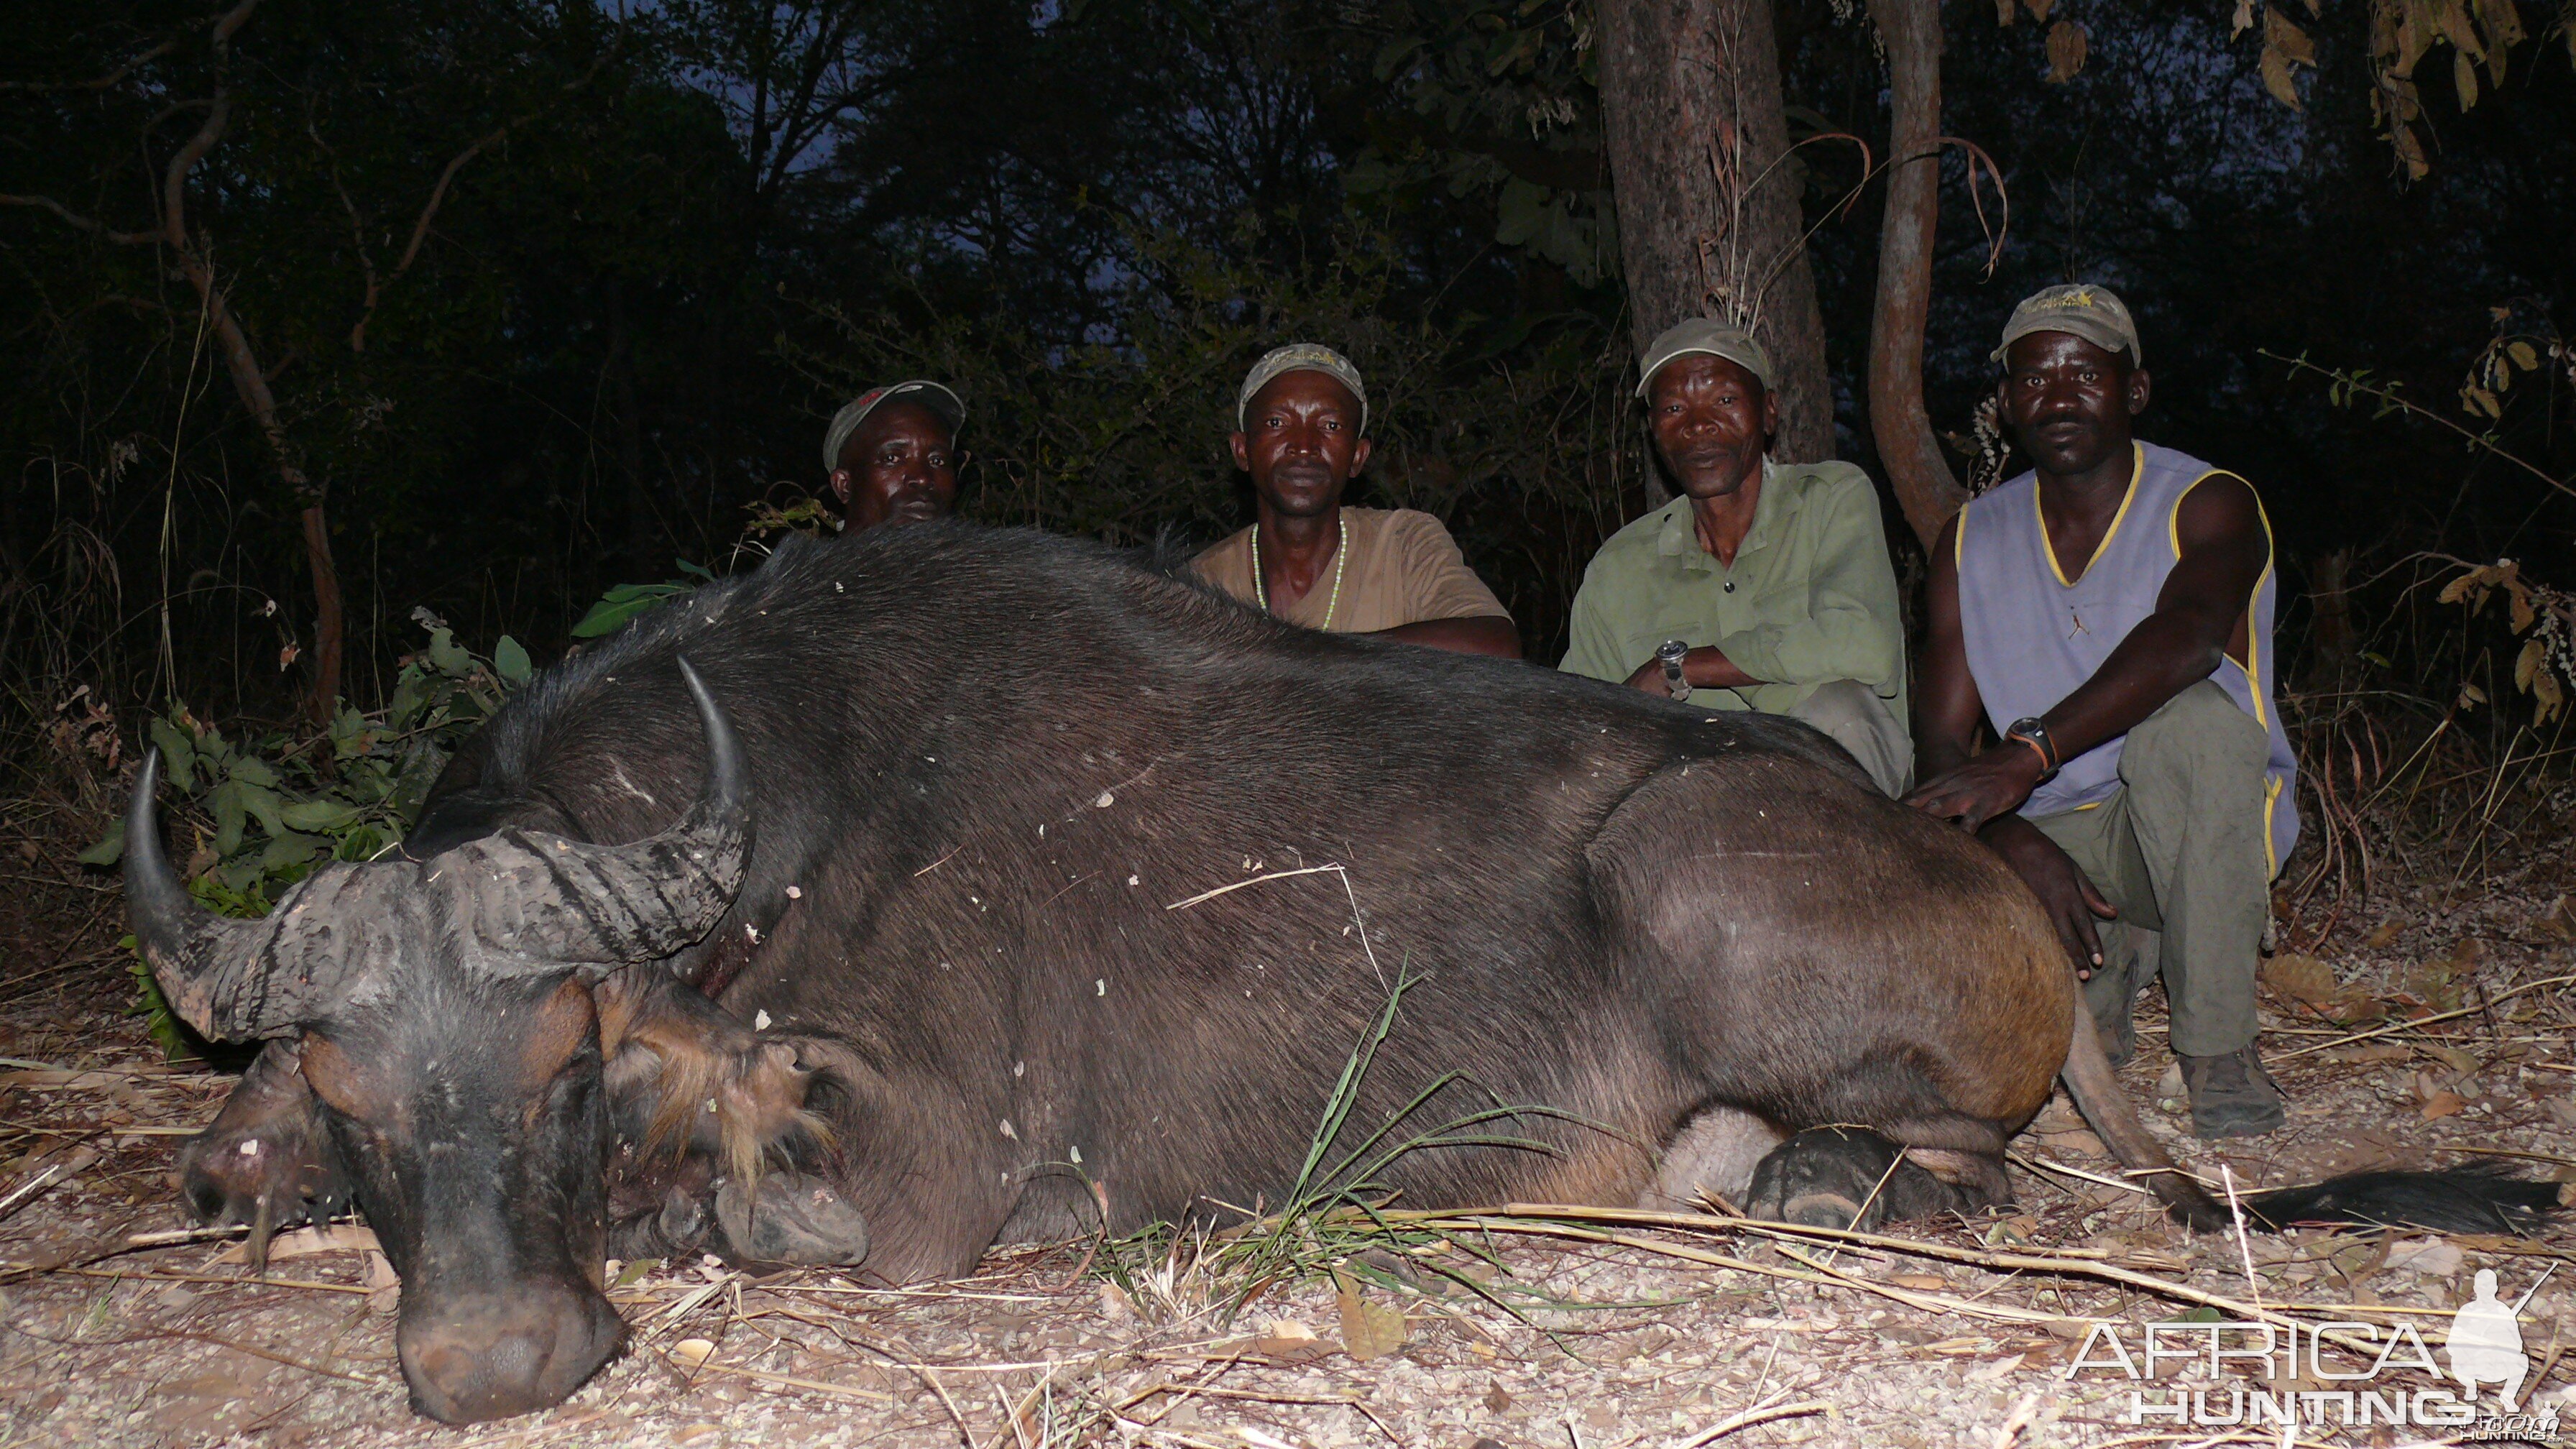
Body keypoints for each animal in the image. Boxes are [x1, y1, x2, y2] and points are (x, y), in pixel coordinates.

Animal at [136, 520, 2534, 1423]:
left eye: (561, 1053)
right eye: (347, 1097)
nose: (499, 1363)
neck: (769, 818)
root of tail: (2007, 888)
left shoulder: (916, 1181)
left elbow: (741, 1202)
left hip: (1706, 891)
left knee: (1972, 1159)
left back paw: (1818, 1182)